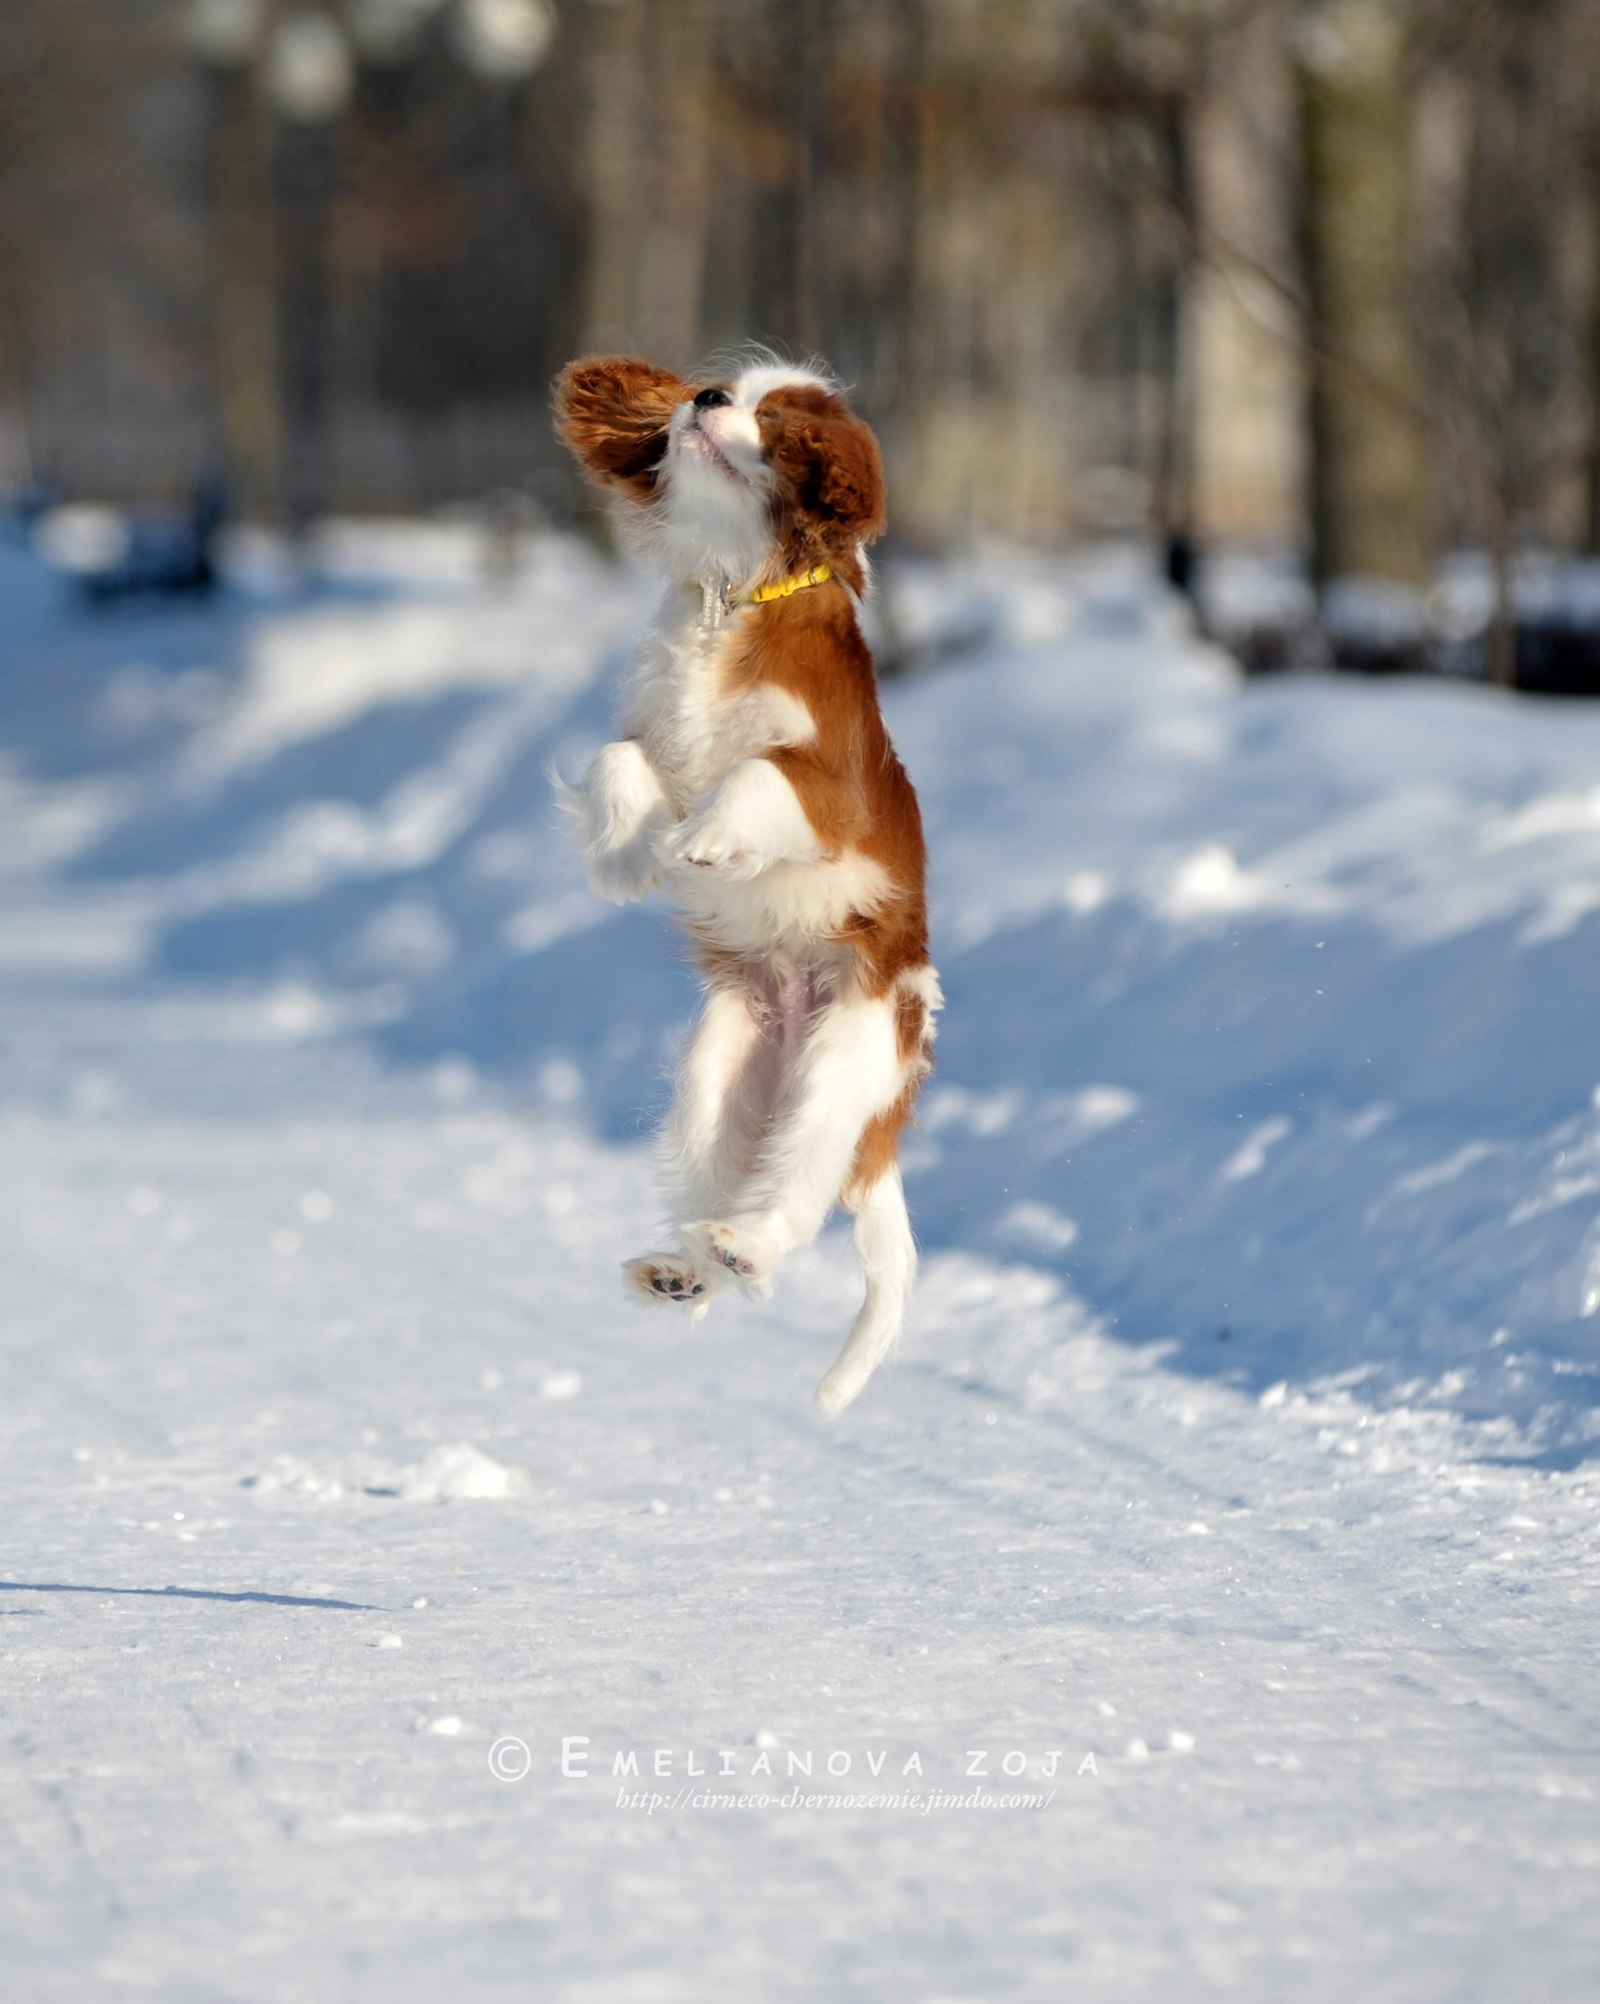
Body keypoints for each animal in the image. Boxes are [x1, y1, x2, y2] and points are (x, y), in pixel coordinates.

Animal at [561, 352, 946, 1418]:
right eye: (718, 387)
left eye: (773, 422)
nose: (702, 402)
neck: (731, 596)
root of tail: (884, 1132)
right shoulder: (652, 732)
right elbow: (619, 758)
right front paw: (631, 851)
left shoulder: (828, 786)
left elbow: (754, 777)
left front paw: (706, 837)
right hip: (718, 1075)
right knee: (719, 1198)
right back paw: (680, 1274)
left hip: (847, 1061)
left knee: (794, 1205)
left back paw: (745, 1246)